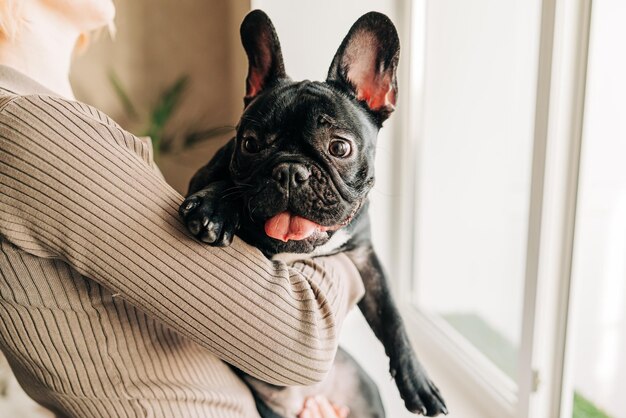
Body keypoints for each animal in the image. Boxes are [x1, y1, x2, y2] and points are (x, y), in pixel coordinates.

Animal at [178, 9, 446, 418]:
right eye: (249, 144)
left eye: (339, 147)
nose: (290, 170)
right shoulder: (205, 173)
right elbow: (225, 181)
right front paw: (214, 207)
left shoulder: (364, 259)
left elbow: (393, 318)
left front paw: (418, 381)